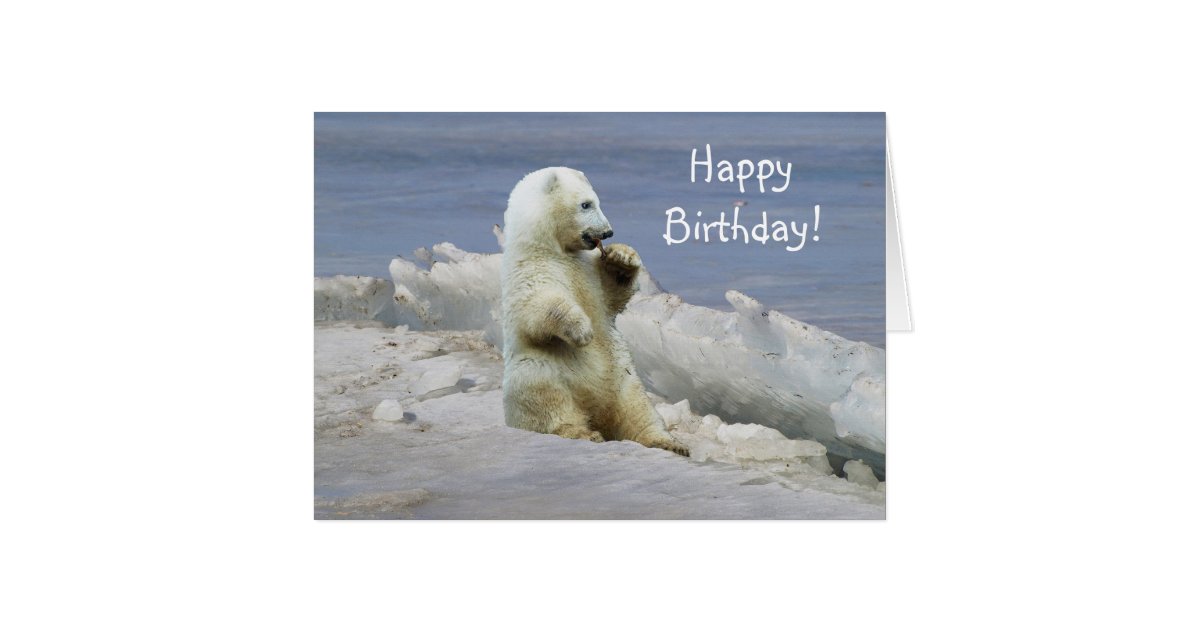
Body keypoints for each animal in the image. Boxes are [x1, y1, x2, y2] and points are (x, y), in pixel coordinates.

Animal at [500, 167, 689, 456]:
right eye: (586, 204)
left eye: (595, 200)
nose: (608, 232)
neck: (550, 249)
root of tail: (597, 411)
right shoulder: (530, 273)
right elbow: (539, 307)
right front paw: (582, 331)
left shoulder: (588, 271)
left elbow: (611, 296)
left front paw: (622, 256)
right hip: (541, 371)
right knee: (548, 400)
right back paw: (583, 432)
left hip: (623, 378)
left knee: (640, 411)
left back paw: (669, 443)